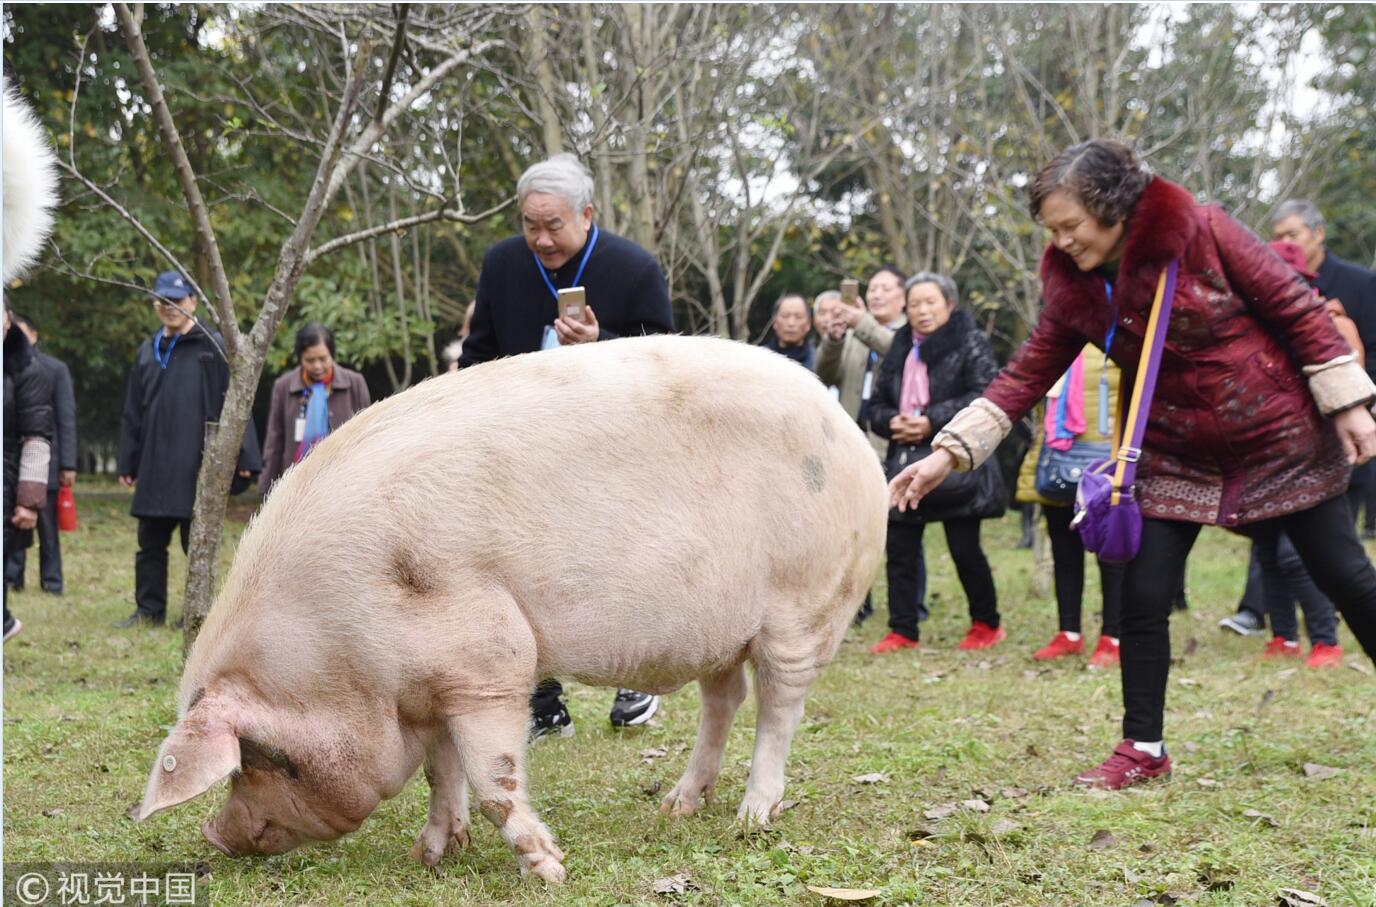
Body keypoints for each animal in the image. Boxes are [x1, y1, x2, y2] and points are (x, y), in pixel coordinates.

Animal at [134, 333, 886, 880]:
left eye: (262, 757)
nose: (215, 834)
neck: (337, 647)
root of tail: (851, 432)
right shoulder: (428, 683)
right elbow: (440, 769)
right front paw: (432, 855)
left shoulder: (488, 657)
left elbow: (492, 772)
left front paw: (547, 870)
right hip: (720, 630)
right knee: (723, 700)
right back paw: (676, 808)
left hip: (802, 604)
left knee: (780, 708)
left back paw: (752, 818)